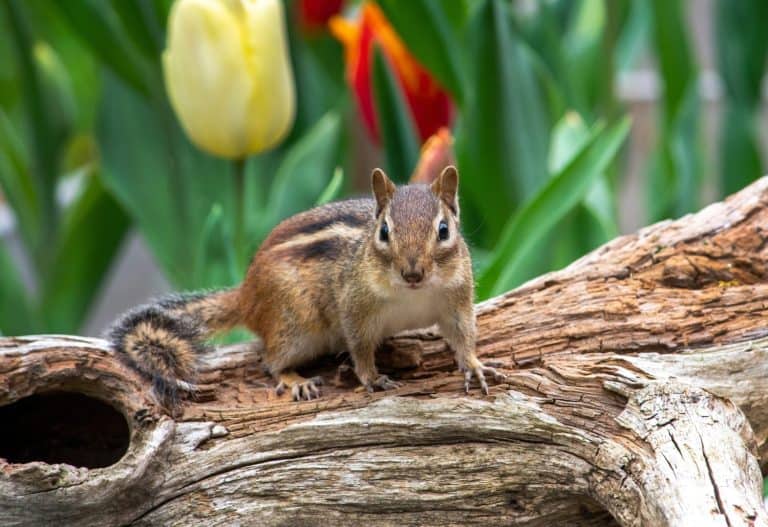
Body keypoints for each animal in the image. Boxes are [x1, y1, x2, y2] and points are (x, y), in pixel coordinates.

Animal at [108, 166, 506, 406]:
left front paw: (475, 366)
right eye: (384, 232)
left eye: (444, 230)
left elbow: (464, 337)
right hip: (296, 324)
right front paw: (371, 378)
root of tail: (247, 293)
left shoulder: (456, 303)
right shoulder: (355, 307)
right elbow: (360, 347)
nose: (412, 273)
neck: (414, 295)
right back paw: (295, 378)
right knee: (270, 360)